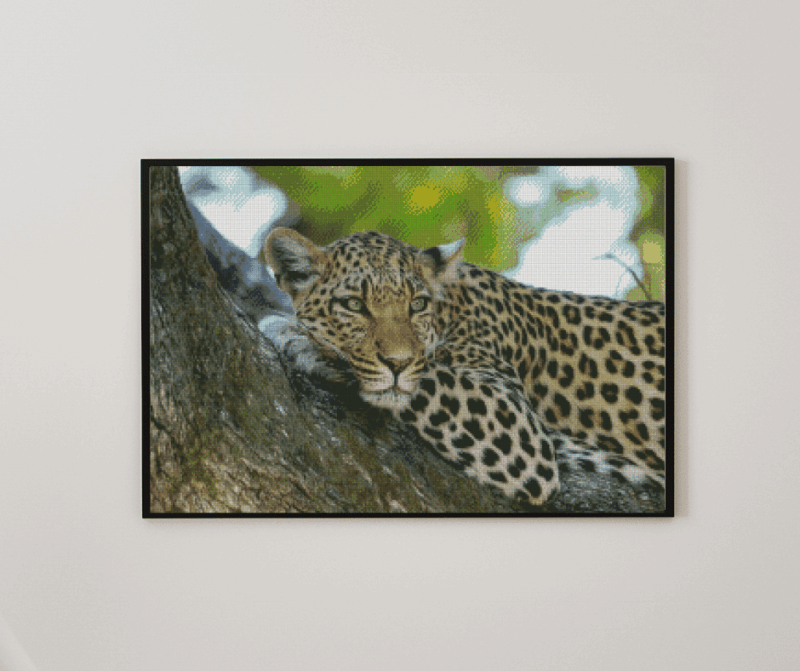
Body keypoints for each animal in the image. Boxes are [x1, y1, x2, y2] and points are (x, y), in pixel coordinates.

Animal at [263, 228, 667, 509]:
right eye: (353, 305)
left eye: (417, 304)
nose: (398, 363)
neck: (450, 310)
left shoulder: (520, 430)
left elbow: (425, 377)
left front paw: (302, 339)